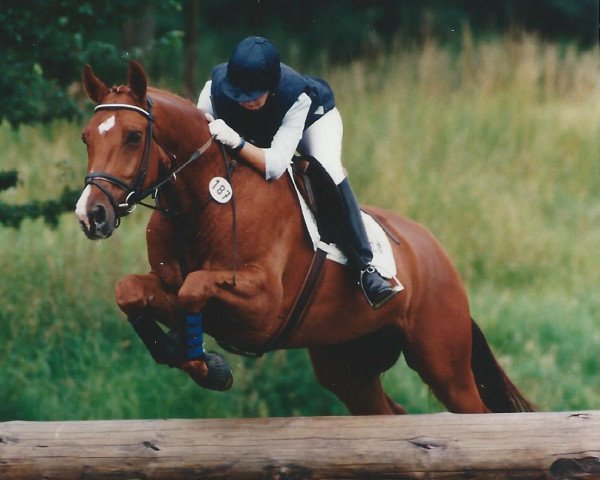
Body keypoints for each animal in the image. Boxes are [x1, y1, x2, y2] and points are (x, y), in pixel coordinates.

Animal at [77, 62, 532, 414]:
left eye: (134, 136)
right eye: (86, 137)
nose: (90, 215)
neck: (204, 201)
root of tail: (435, 253)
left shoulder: (261, 307)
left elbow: (194, 289)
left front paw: (208, 366)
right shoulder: (169, 287)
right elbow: (130, 291)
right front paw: (183, 354)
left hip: (443, 363)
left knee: (476, 409)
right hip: (346, 366)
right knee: (388, 411)